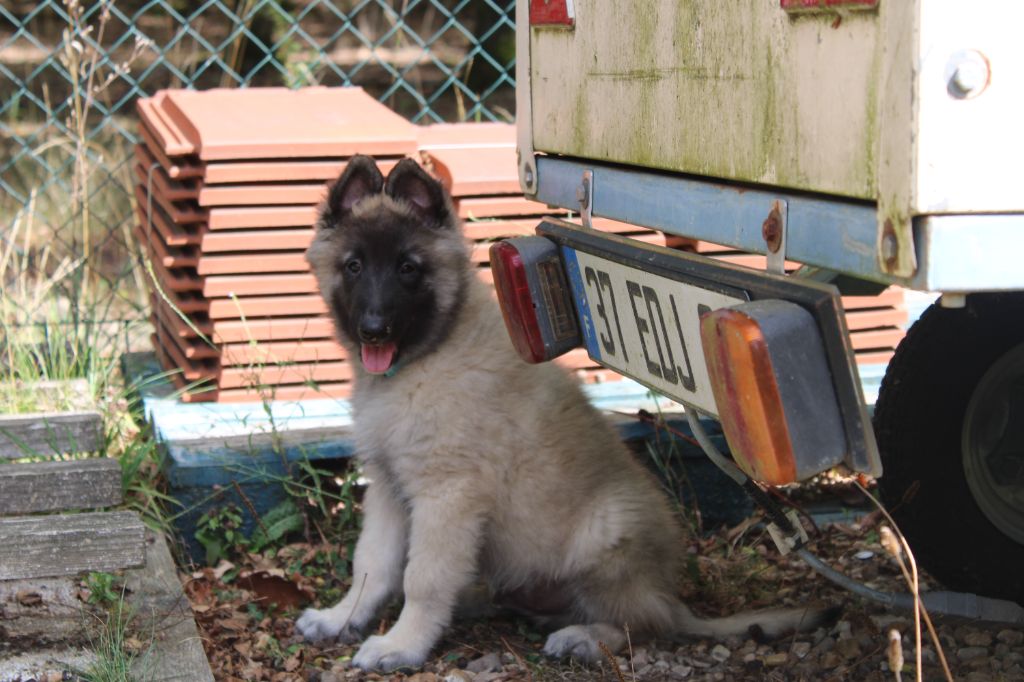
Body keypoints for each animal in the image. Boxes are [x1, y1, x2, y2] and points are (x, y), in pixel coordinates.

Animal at [296, 155, 828, 671]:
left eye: (408, 268)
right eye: (354, 266)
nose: (374, 330)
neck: (427, 356)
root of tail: (671, 597)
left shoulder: (448, 494)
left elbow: (422, 578)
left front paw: (402, 645)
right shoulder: (388, 488)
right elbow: (372, 564)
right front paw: (343, 617)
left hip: (604, 537)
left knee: (645, 625)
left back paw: (586, 638)